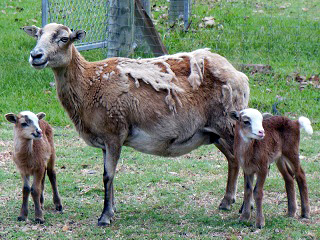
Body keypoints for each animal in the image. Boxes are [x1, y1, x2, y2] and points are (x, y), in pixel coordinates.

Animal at [23, 23, 251, 226]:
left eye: (64, 39)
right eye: (38, 35)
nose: (35, 56)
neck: (88, 84)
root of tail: (240, 76)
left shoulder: (114, 132)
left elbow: (108, 176)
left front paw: (105, 217)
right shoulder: (105, 140)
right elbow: (109, 176)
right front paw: (113, 209)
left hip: (228, 125)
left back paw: (243, 209)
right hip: (215, 131)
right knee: (233, 160)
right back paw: (227, 202)